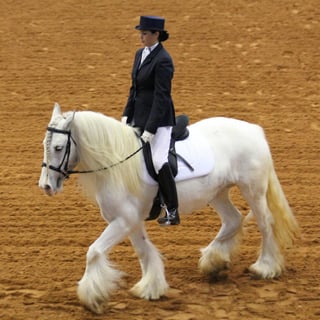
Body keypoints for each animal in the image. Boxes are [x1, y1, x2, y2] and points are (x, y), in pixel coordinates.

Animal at [38, 104, 298, 314]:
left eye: (59, 147)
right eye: (44, 145)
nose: (46, 186)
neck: (117, 164)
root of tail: (254, 130)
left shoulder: (123, 221)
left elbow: (93, 252)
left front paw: (93, 298)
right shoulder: (131, 221)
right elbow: (144, 251)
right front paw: (151, 287)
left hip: (253, 189)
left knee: (265, 224)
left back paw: (265, 267)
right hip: (217, 193)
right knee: (233, 220)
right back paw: (213, 261)